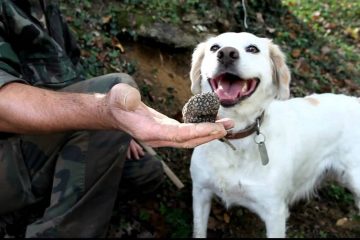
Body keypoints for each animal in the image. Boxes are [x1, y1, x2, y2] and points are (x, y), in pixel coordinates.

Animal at [190, 32, 358, 238]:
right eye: (214, 47)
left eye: (252, 48)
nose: (226, 54)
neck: (237, 136)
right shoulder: (200, 192)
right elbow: (199, 230)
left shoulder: (275, 213)